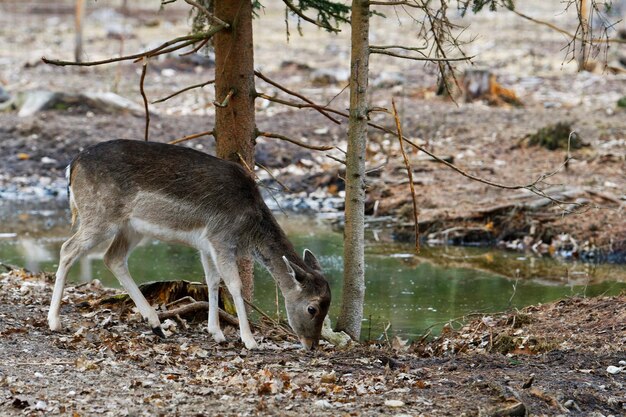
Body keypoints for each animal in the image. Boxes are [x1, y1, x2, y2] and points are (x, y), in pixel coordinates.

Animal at [47, 139, 332, 348]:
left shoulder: (206, 244)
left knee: (112, 258)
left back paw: (155, 324)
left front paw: (216, 333)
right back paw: (54, 321)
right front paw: (250, 341)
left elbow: (212, 281)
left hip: (131, 227)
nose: (312, 345)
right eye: (312, 308)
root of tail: (72, 165)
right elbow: (235, 285)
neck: (248, 226)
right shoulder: (221, 236)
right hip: (100, 215)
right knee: (68, 248)